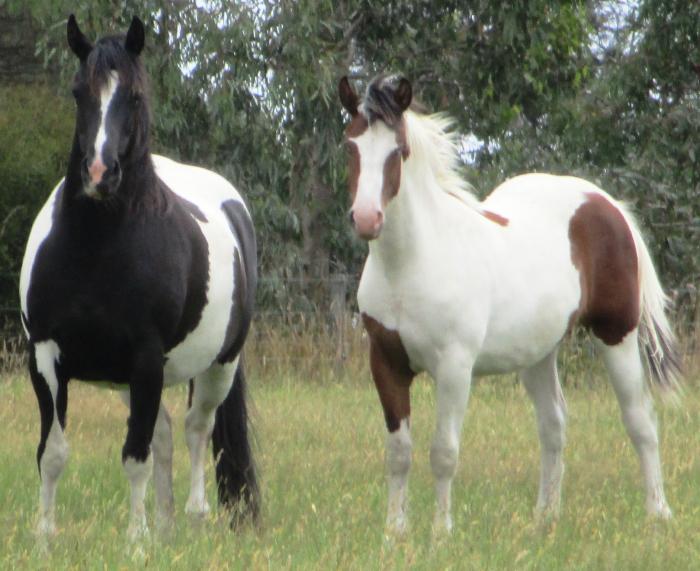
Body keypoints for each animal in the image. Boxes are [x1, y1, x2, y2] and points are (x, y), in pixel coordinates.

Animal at [19, 15, 259, 542]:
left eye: (133, 95)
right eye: (77, 92)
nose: (98, 173)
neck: (94, 250)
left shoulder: (146, 359)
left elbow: (135, 458)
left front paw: (133, 543)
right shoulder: (45, 357)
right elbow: (52, 454)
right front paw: (45, 539)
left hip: (219, 366)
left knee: (195, 430)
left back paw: (192, 517)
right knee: (166, 434)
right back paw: (165, 529)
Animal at [338, 74, 682, 535]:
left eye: (399, 151)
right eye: (350, 145)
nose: (366, 219)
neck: (413, 262)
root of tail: (606, 204)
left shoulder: (455, 367)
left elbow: (443, 452)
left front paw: (441, 533)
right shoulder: (386, 363)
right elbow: (399, 452)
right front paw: (394, 532)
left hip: (617, 336)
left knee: (640, 421)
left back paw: (657, 512)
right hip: (538, 352)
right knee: (553, 425)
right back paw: (545, 519)